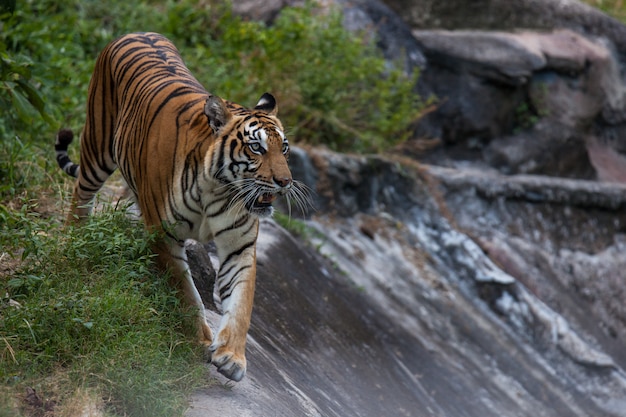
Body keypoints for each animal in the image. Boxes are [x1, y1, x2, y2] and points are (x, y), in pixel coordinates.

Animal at [53, 31, 308, 384]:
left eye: (283, 148)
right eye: (256, 148)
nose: (285, 182)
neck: (219, 189)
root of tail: (135, 32)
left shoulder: (240, 246)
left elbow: (241, 303)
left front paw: (232, 357)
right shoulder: (163, 233)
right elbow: (186, 291)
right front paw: (200, 339)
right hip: (97, 147)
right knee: (81, 194)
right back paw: (74, 241)